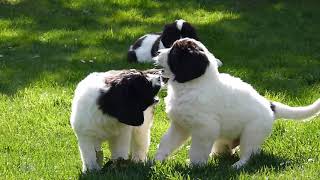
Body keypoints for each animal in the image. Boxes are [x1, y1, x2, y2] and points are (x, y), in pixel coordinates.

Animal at [152, 38, 320, 169]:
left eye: (174, 53)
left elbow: (197, 150)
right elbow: (167, 142)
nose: (158, 53)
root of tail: (270, 106)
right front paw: (156, 161)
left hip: (252, 133)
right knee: (225, 147)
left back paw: (237, 165)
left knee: (249, 154)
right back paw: (216, 156)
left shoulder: (205, 128)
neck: (192, 85)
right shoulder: (179, 125)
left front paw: (194, 166)